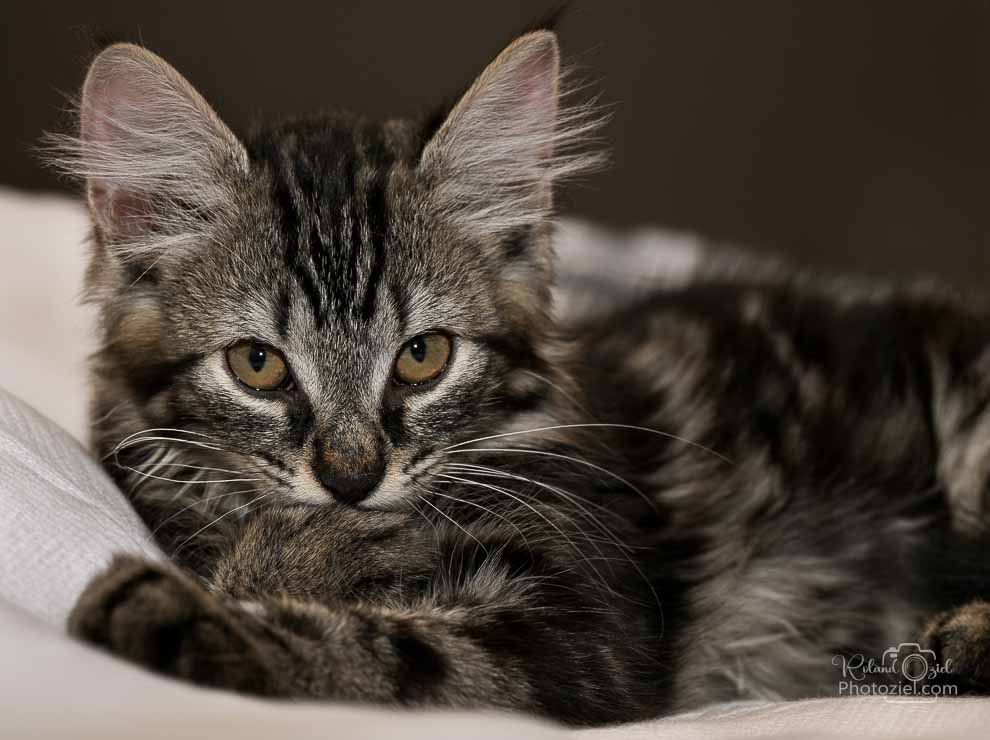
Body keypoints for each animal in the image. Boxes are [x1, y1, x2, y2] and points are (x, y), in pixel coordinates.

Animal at [50, 26, 990, 724]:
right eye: (258, 365)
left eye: (422, 357)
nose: (353, 482)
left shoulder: (582, 637)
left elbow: (389, 649)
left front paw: (202, 597)